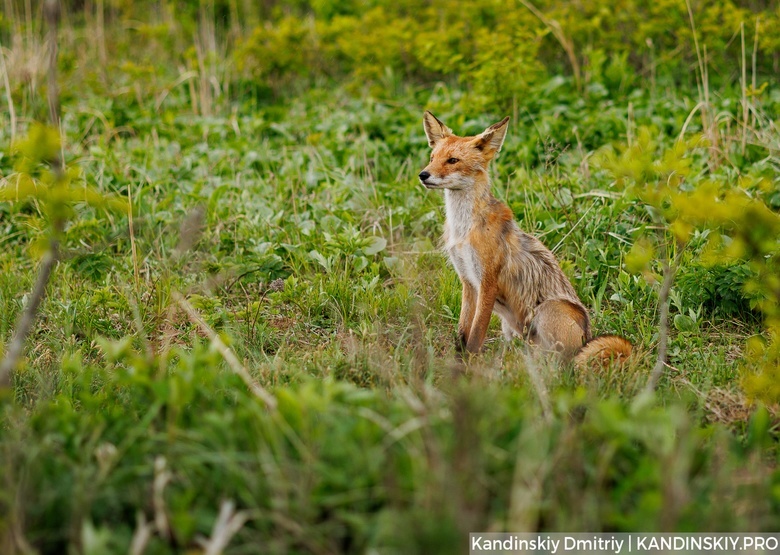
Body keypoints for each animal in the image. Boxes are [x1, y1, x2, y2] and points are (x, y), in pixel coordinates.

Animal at [418, 110, 632, 368]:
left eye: (452, 160)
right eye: (432, 157)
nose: (423, 175)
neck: (463, 229)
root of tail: (587, 338)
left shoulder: (487, 282)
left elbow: (476, 336)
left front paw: (470, 369)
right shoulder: (468, 281)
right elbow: (462, 333)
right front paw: (458, 364)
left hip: (548, 310)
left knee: (558, 362)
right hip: (511, 328)